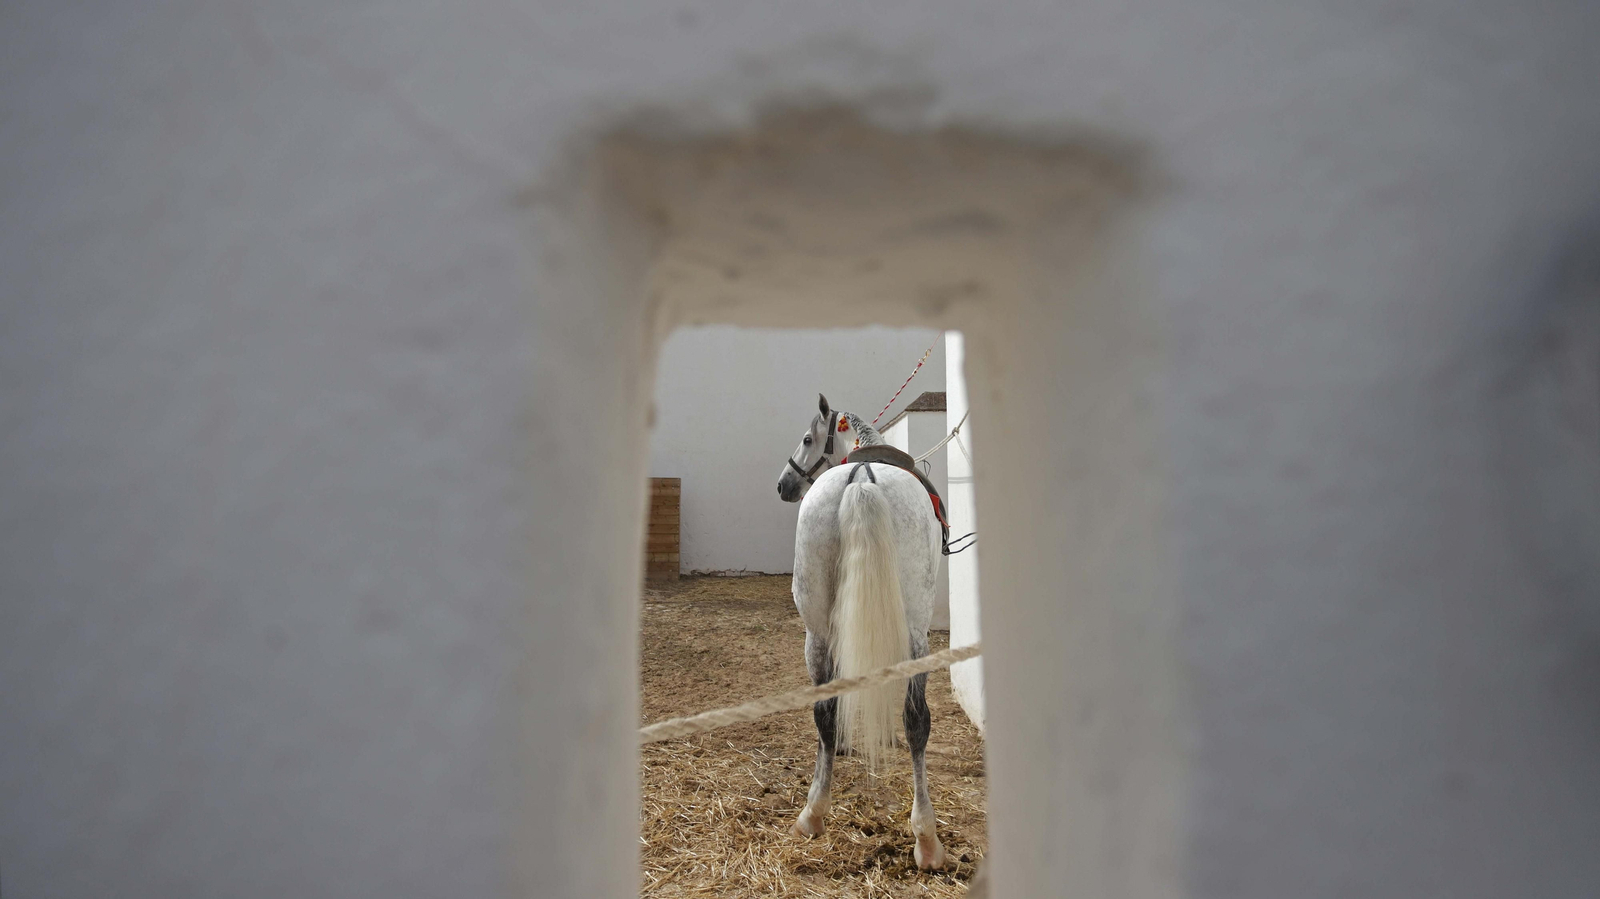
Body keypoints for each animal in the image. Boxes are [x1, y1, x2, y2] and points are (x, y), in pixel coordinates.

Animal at [776, 393, 947, 870]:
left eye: (807, 439)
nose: (783, 486)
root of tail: (862, 477)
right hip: (915, 632)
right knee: (917, 720)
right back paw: (926, 839)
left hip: (816, 632)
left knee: (824, 711)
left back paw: (813, 813)